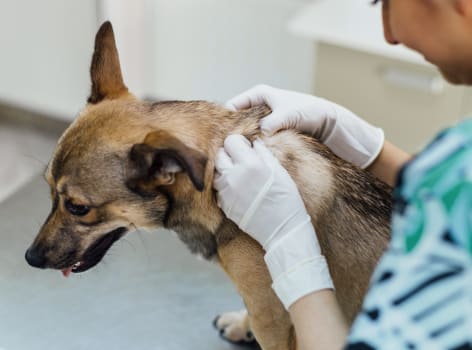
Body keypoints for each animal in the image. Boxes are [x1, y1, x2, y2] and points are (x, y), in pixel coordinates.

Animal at [24, 22, 390, 350]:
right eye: (48, 190)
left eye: (78, 207)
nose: (30, 258)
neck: (215, 181)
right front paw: (241, 323)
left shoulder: (274, 320)